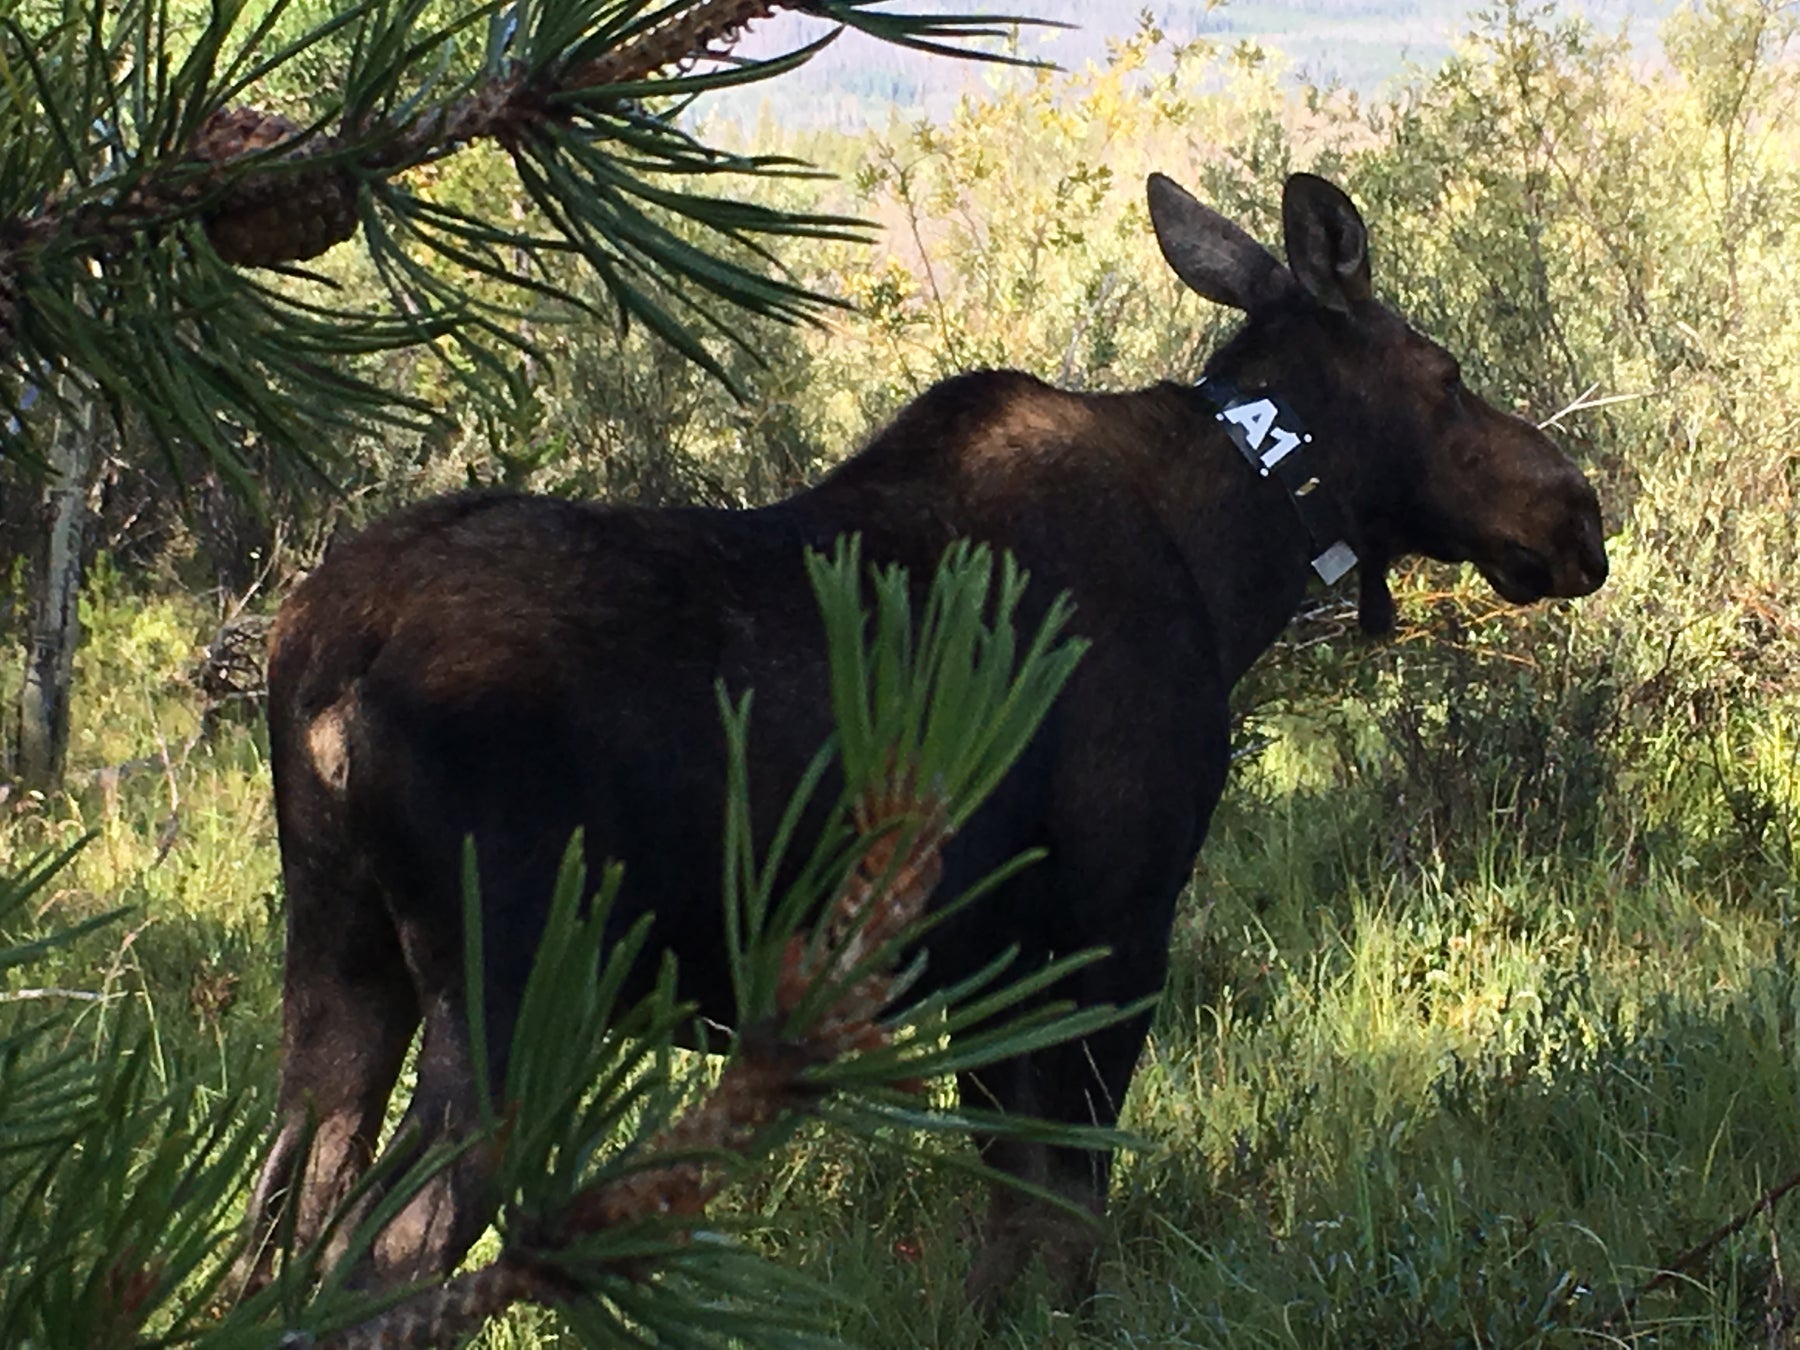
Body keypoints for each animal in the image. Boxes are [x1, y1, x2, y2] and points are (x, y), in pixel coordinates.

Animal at [239, 174, 1605, 1317]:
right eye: (1445, 371)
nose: (1576, 512)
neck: (1236, 566)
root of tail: (322, 650)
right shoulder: (1114, 918)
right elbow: (1071, 1196)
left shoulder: (988, 952)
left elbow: (1004, 1199)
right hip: (511, 980)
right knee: (392, 1250)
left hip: (340, 960)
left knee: (278, 1225)